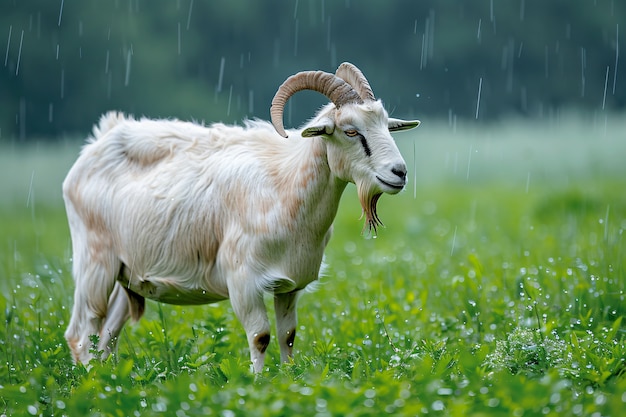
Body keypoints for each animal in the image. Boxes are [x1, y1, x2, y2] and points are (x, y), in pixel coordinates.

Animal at [63, 61, 420, 370]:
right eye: (350, 131)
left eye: (386, 126)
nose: (399, 172)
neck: (285, 186)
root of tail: (100, 139)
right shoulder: (243, 281)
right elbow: (261, 336)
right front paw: (255, 385)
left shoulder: (289, 286)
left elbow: (288, 336)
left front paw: (289, 380)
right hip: (95, 263)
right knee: (82, 332)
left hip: (128, 274)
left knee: (107, 335)